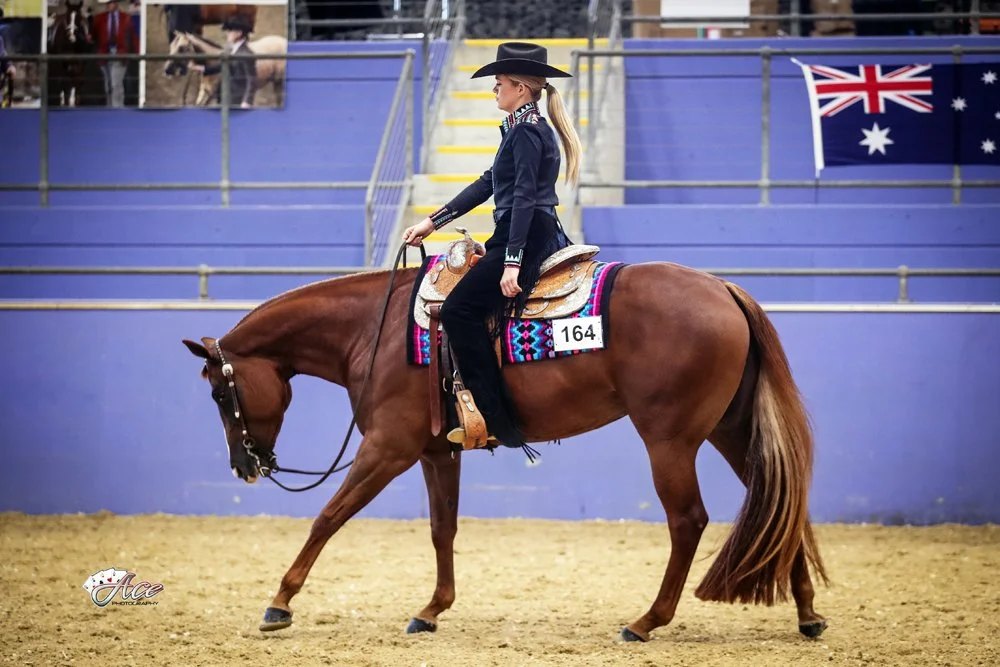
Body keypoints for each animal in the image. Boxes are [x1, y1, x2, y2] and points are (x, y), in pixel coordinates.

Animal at [180, 249, 830, 643]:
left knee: (688, 520)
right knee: (780, 503)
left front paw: (279, 603)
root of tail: (723, 288)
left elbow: (328, 516)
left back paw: (647, 620)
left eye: (217, 393)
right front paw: (432, 610)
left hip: (669, 439)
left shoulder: (386, 449)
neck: (373, 330)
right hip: (731, 430)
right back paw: (807, 613)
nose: (244, 467)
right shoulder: (436, 452)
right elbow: (442, 529)